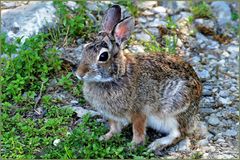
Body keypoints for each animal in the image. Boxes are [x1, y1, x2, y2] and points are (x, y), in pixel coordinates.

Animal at [75, 5, 202, 152]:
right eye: (85, 48)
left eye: (103, 56)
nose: (79, 74)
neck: (117, 76)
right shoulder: (113, 116)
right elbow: (114, 128)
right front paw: (106, 137)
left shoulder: (139, 112)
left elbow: (138, 130)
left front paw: (133, 146)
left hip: (174, 111)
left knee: (179, 133)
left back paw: (156, 144)